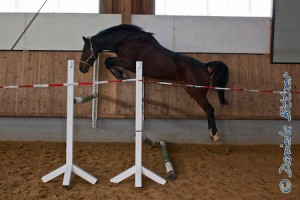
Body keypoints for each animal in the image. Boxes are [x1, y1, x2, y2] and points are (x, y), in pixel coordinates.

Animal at [78, 23, 229, 142]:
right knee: (207, 110)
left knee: (209, 109)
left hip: (196, 91)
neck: (125, 40)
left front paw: (121, 74)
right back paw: (211, 134)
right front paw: (122, 74)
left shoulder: (127, 61)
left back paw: (215, 135)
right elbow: (108, 62)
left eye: (85, 49)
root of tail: (204, 66)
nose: (81, 69)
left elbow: (107, 61)